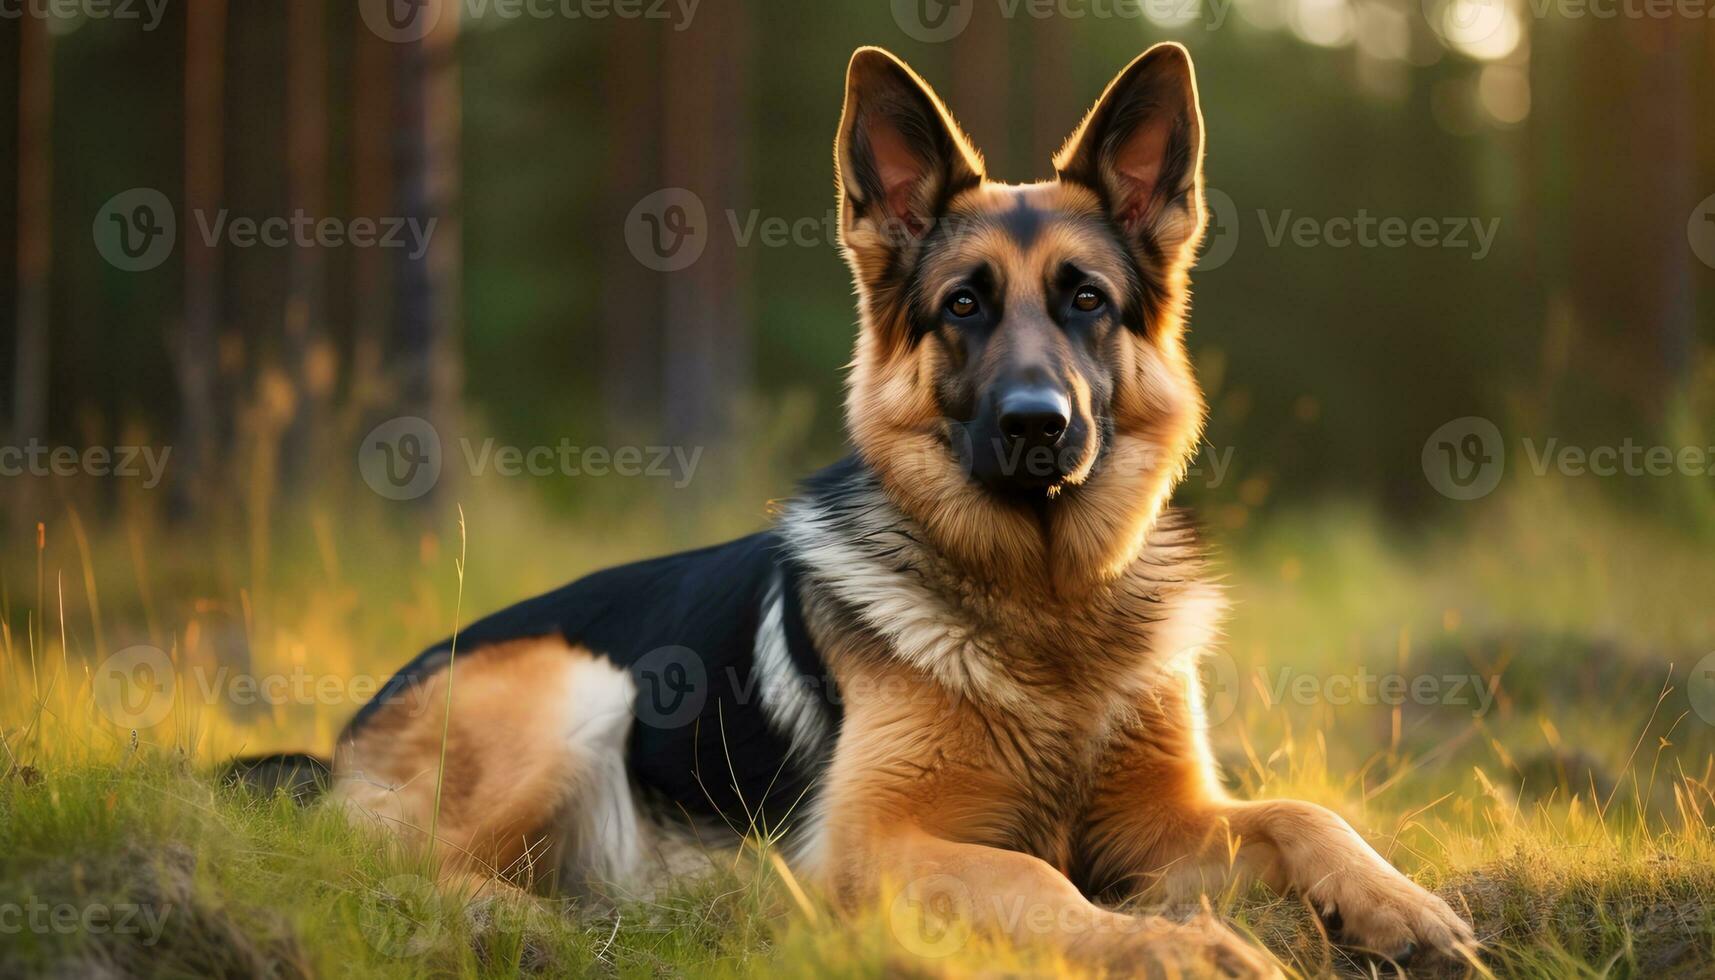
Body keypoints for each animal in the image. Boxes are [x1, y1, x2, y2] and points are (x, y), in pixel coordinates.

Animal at [253, 44, 1474, 974]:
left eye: (1085, 300)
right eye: (963, 306)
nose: (1036, 425)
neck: (1043, 608)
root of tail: (343, 737)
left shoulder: (1160, 818)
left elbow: (1300, 811)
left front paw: (1400, 902)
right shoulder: (872, 841)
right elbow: (1035, 878)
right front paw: (1177, 945)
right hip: (577, 685)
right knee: (400, 865)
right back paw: (523, 918)